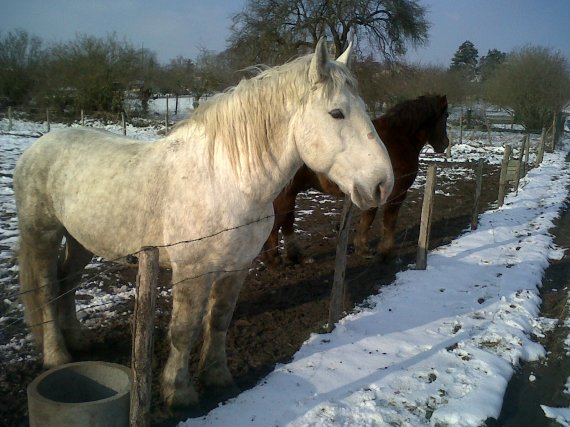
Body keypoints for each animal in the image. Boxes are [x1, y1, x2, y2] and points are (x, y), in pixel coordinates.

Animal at [15, 39, 392, 408]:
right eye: (336, 113)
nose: (382, 184)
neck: (227, 180)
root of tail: (38, 147)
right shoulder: (192, 271)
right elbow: (184, 331)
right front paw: (179, 394)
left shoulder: (236, 267)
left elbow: (219, 320)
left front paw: (218, 379)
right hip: (43, 235)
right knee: (47, 289)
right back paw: (57, 356)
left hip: (81, 239)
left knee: (68, 280)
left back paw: (78, 341)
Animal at [262, 95, 448, 268]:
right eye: (446, 116)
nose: (445, 144)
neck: (400, 138)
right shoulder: (397, 193)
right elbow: (388, 221)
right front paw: (385, 252)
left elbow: (367, 218)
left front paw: (362, 248)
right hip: (286, 195)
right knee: (278, 224)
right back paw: (276, 260)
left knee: (286, 222)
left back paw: (294, 257)